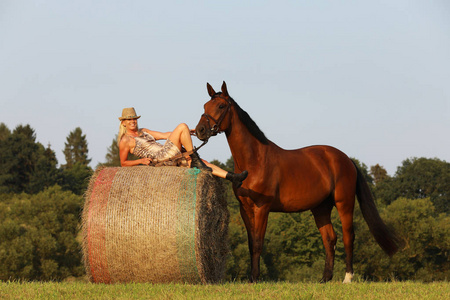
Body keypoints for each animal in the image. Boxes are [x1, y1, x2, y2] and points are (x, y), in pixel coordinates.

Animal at [195, 81, 402, 282]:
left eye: (221, 106)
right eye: (205, 106)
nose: (200, 130)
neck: (254, 161)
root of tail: (347, 159)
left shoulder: (262, 207)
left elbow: (258, 242)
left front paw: (255, 278)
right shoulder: (244, 209)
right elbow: (251, 243)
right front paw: (251, 278)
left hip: (344, 203)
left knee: (348, 236)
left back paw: (347, 278)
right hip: (321, 208)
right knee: (330, 238)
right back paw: (325, 278)